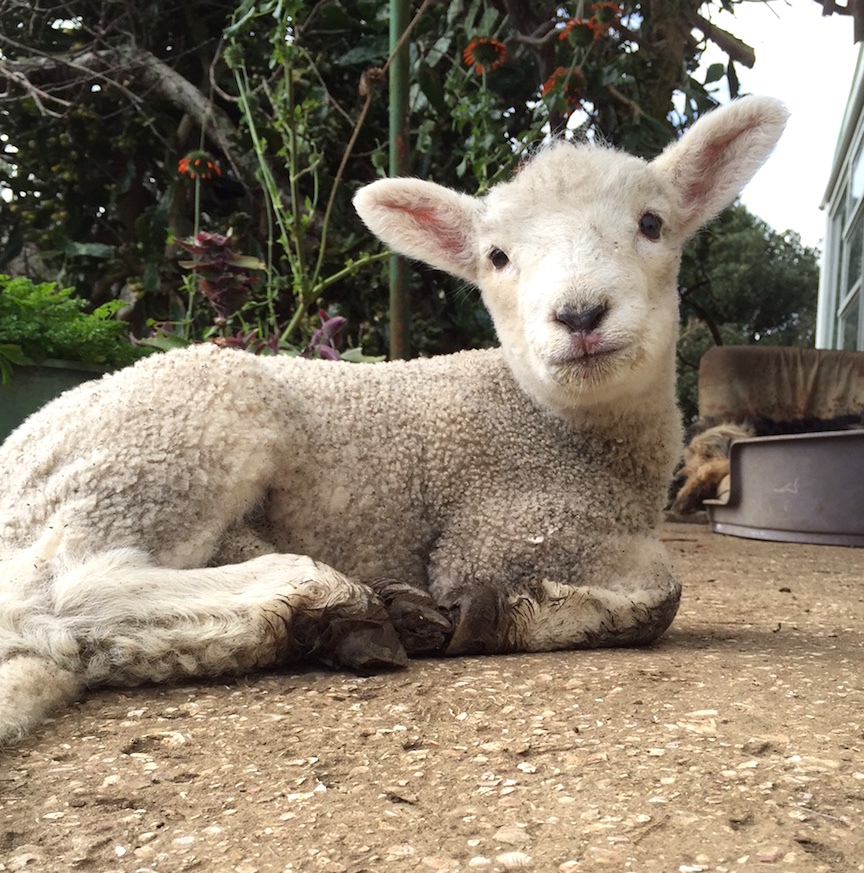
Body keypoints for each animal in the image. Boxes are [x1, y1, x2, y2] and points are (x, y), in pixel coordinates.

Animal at [0, 97, 788, 748]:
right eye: (497, 256)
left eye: (652, 224)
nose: (579, 314)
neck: (560, 428)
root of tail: (21, 446)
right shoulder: (506, 529)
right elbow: (663, 593)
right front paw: (506, 610)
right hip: (171, 440)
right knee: (52, 590)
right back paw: (334, 597)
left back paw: (334, 625)